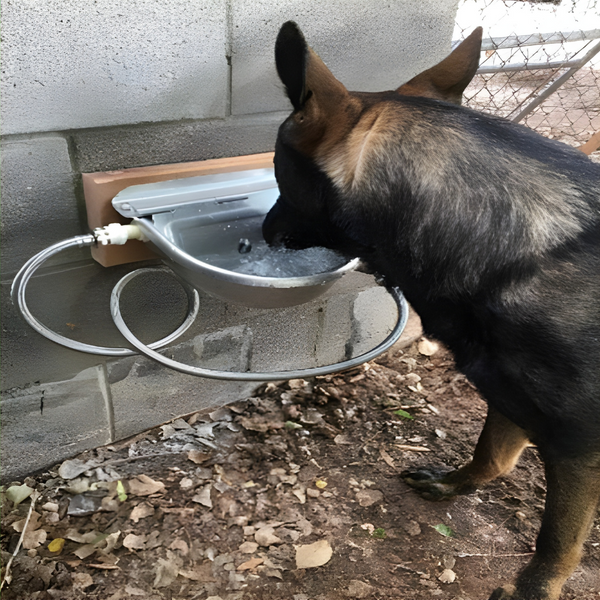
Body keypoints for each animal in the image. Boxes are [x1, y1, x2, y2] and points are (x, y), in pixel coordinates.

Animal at [264, 21, 600, 600]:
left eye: (279, 176)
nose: (259, 232)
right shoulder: (509, 394)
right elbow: (491, 456)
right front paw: (453, 484)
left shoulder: (579, 448)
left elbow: (555, 545)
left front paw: (531, 590)